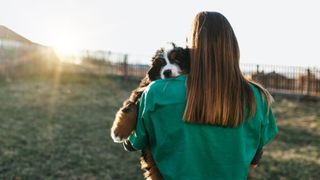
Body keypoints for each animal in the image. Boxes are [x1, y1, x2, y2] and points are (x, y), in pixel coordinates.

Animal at [110, 43, 190, 179]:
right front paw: (118, 131)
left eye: (177, 59)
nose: (167, 72)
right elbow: (130, 109)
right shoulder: (141, 91)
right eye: (161, 63)